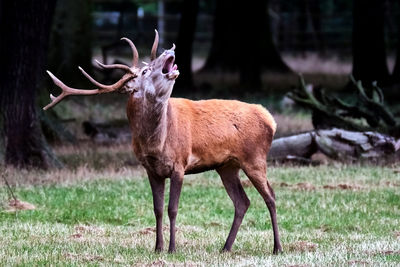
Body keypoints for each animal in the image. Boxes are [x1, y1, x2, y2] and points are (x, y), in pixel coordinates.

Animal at [43, 30, 282, 254]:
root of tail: (270, 119)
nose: (169, 50)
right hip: (227, 166)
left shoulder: (180, 163)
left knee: (270, 196)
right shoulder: (151, 169)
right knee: (242, 201)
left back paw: (277, 247)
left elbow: (172, 208)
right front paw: (158, 247)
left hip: (255, 157)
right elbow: (157, 208)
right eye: (145, 70)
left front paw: (173, 248)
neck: (156, 143)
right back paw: (226, 247)